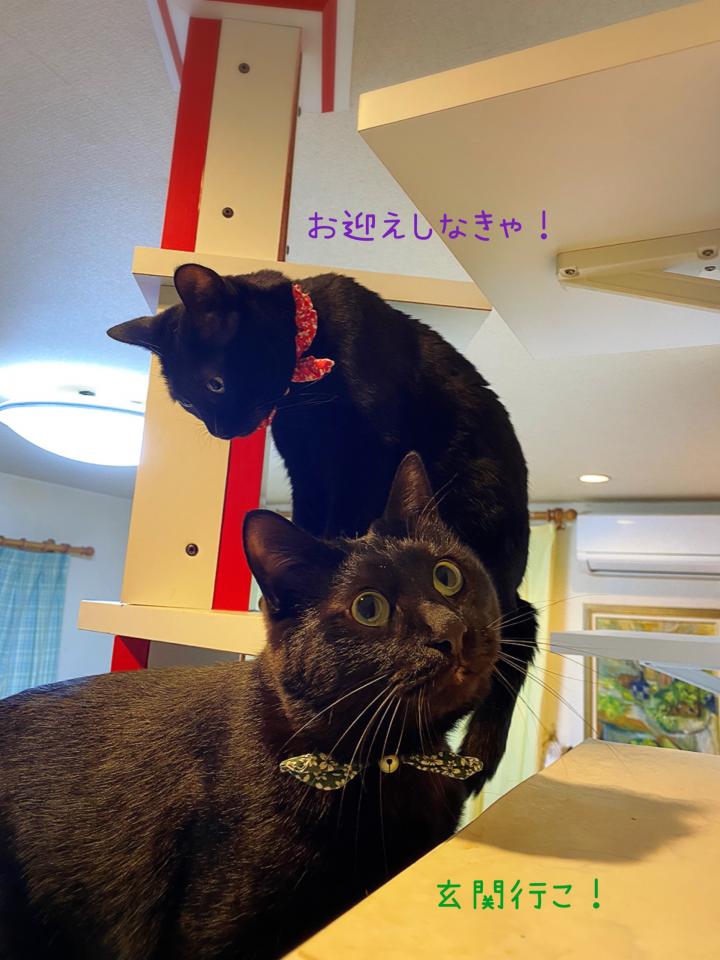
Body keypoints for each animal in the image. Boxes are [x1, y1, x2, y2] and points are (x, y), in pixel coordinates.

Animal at [108, 264, 537, 788]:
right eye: (189, 404)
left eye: (215, 385)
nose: (221, 432)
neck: (306, 383)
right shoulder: (306, 464)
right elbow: (311, 519)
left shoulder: (366, 453)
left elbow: (347, 517)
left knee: (520, 624)